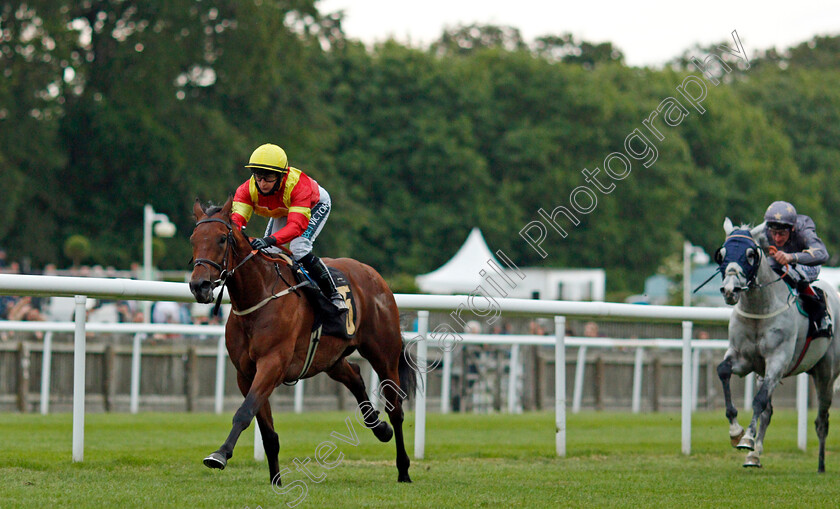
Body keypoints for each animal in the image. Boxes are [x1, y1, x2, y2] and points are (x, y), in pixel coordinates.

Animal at [189, 195, 416, 484]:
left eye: (221, 239)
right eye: (193, 239)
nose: (200, 285)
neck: (259, 296)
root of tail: (374, 274)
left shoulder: (272, 364)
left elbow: (244, 412)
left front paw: (219, 454)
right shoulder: (245, 373)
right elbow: (267, 432)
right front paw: (275, 480)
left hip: (384, 353)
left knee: (395, 408)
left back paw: (403, 469)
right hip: (329, 358)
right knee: (354, 375)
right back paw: (379, 428)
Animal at [716, 216, 840, 470]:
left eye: (751, 254)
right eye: (721, 254)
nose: (730, 290)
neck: (759, 309)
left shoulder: (777, 361)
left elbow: (759, 400)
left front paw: (746, 438)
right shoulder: (744, 359)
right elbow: (723, 371)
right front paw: (736, 432)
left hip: (826, 373)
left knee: (822, 419)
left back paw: (821, 465)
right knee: (768, 412)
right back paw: (754, 456)